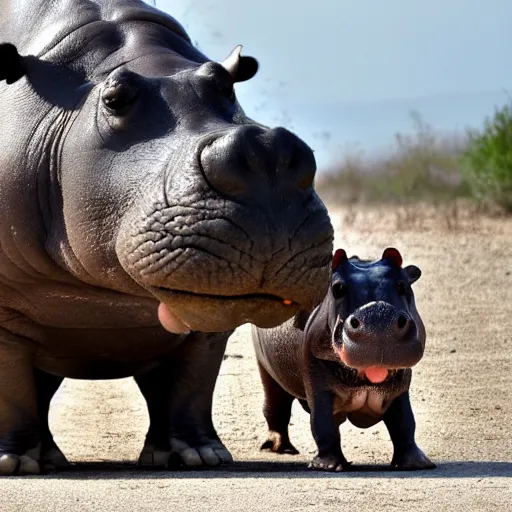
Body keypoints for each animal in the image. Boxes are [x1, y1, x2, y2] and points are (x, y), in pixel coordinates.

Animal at [0, 0, 334, 476]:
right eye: (115, 99)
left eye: (224, 85)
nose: (265, 150)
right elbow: (11, 387)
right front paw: (14, 463)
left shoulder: (211, 327)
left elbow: (192, 386)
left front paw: (200, 456)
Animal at [250, 248, 434, 472]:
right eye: (337, 287)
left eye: (403, 285)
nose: (377, 315)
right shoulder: (318, 385)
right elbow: (323, 424)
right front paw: (329, 467)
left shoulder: (400, 388)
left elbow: (404, 422)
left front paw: (417, 464)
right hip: (266, 371)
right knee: (276, 406)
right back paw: (282, 448)